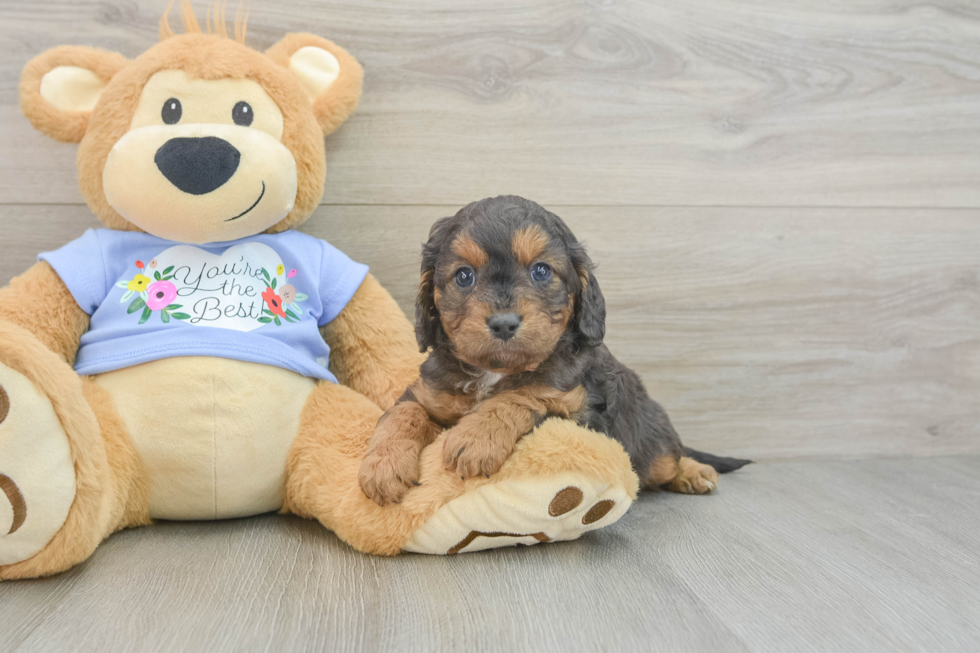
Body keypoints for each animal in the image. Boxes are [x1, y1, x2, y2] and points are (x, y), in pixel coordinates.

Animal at [360, 194, 752, 504]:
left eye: (541, 271)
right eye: (464, 276)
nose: (504, 323)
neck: (495, 371)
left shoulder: (580, 412)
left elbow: (525, 395)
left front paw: (476, 435)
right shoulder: (428, 392)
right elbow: (403, 412)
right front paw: (383, 465)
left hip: (648, 441)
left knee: (668, 457)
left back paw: (694, 471)